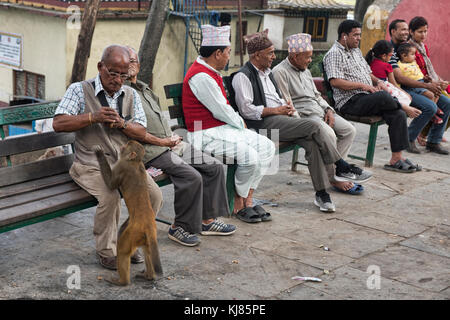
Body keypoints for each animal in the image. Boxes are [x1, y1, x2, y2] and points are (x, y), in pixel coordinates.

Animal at [94, 140, 163, 284]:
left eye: (126, 145)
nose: (121, 146)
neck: (135, 162)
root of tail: (149, 225)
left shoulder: (122, 166)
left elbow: (110, 184)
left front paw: (99, 153)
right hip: (145, 236)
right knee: (147, 250)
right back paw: (149, 276)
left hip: (134, 232)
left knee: (122, 249)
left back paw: (122, 282)